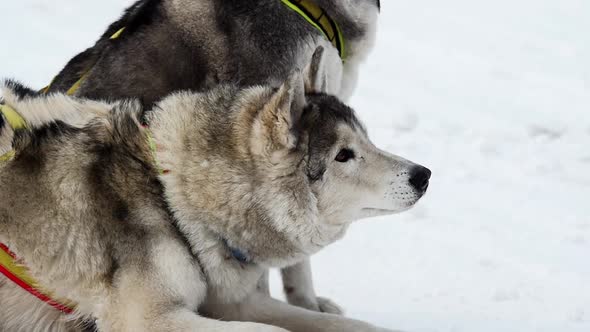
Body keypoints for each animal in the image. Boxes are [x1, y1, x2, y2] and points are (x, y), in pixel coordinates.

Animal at [1, 67, 434, 330]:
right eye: (343, 154)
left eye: (367, 139)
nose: (423, 175)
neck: (168, 192)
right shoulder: (148, 319)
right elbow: (270, 331)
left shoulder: (232, 303)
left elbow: (344, 324)